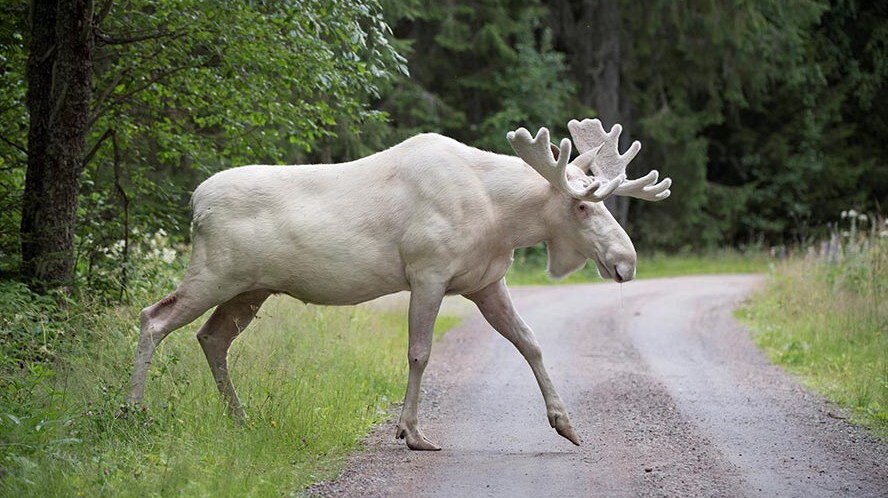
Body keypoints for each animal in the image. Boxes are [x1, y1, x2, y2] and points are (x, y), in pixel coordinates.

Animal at [130, 118, 672, 450]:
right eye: (581, 205)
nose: (626, 261)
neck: (500, 218)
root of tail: (194, 202)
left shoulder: (485, 282)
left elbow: (531, 343)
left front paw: (566, 424)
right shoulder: (427, 272)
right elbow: (419, 352)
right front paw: (411, 432)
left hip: (250, 289)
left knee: (211, 337)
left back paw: (238, 418)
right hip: (215, 273)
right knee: (153, 317)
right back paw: (133, 411)